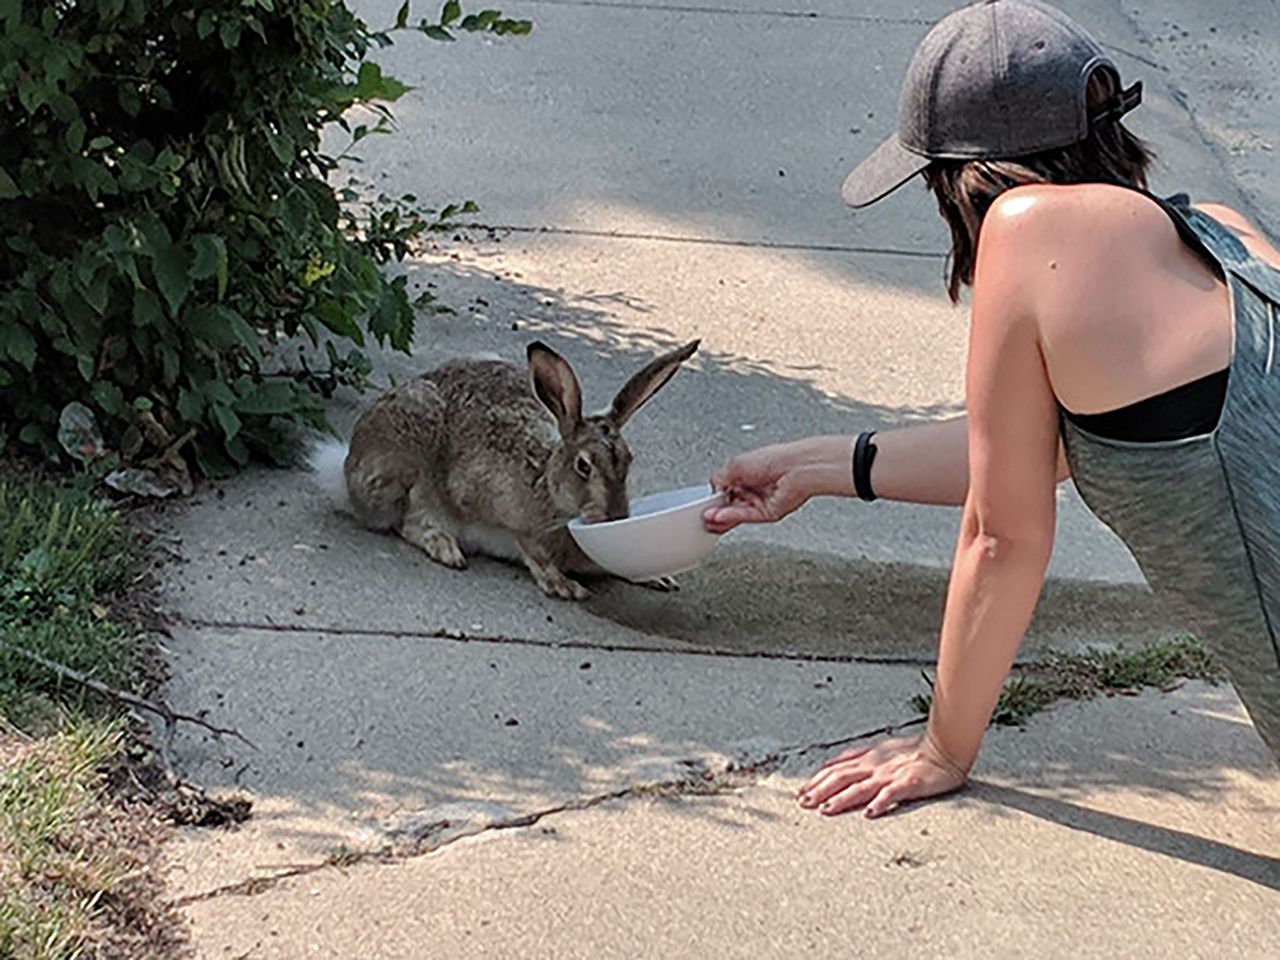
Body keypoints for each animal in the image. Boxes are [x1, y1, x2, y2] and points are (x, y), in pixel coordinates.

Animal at [308, 343, 701, 601]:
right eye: (584, 465)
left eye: (628, 460)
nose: (616, 516)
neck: (550, 490)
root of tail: (346, 464)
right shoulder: (492, 502)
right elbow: (528, 544)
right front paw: (563, 586)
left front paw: (661, 579)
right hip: (404, 457)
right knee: (406, 519)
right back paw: (446, 548)